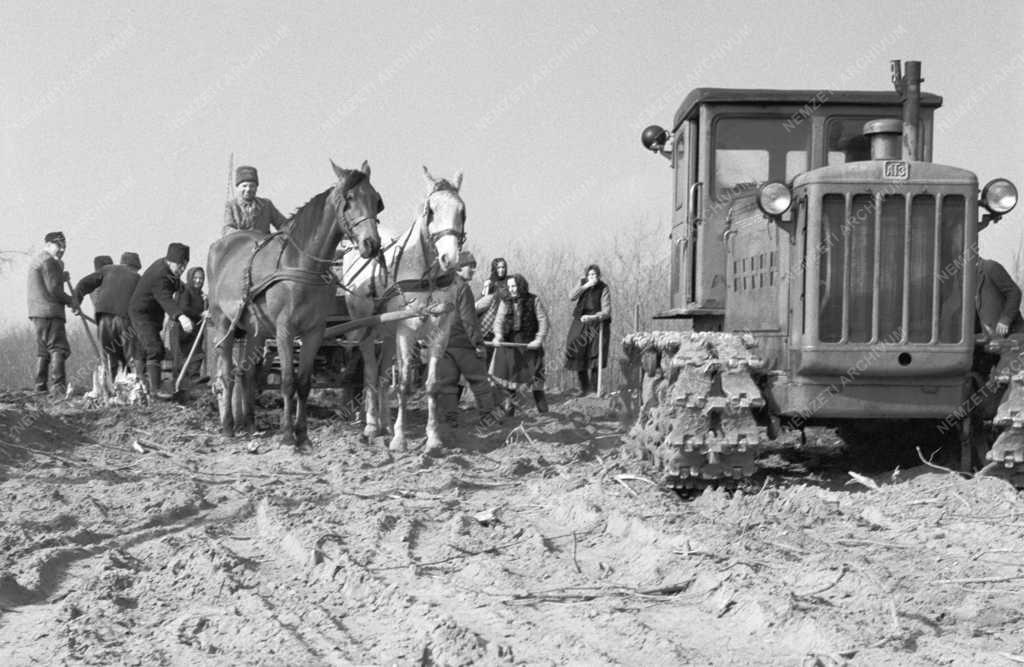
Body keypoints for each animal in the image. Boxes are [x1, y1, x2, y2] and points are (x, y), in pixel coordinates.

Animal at [205, 160, 382, 450]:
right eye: (348, 199)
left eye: (377, 200)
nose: (371, 244)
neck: (300, 263)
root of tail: (220, 246)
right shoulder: (284, 331)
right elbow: (288, 381)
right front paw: (288, 434)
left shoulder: (314, 332)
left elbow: (304, 383)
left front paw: (303, 434)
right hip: (223, 324)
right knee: (227, 375)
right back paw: (229, 426)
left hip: (255, 331)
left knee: (247, 375)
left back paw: (250, 425)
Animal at [344, 165, 468, 454]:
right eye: (430, 210)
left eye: (462, 211)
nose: (450, 259)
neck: (428, 279)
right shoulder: (406, 331)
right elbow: (402, 385)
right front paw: (400, 439)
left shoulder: (440, 331)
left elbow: (431, 385)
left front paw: (433, 439)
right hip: (366, 331)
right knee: (369, 372)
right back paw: (371, 426)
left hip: (388, 335)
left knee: (380, 376)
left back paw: (385, 425)